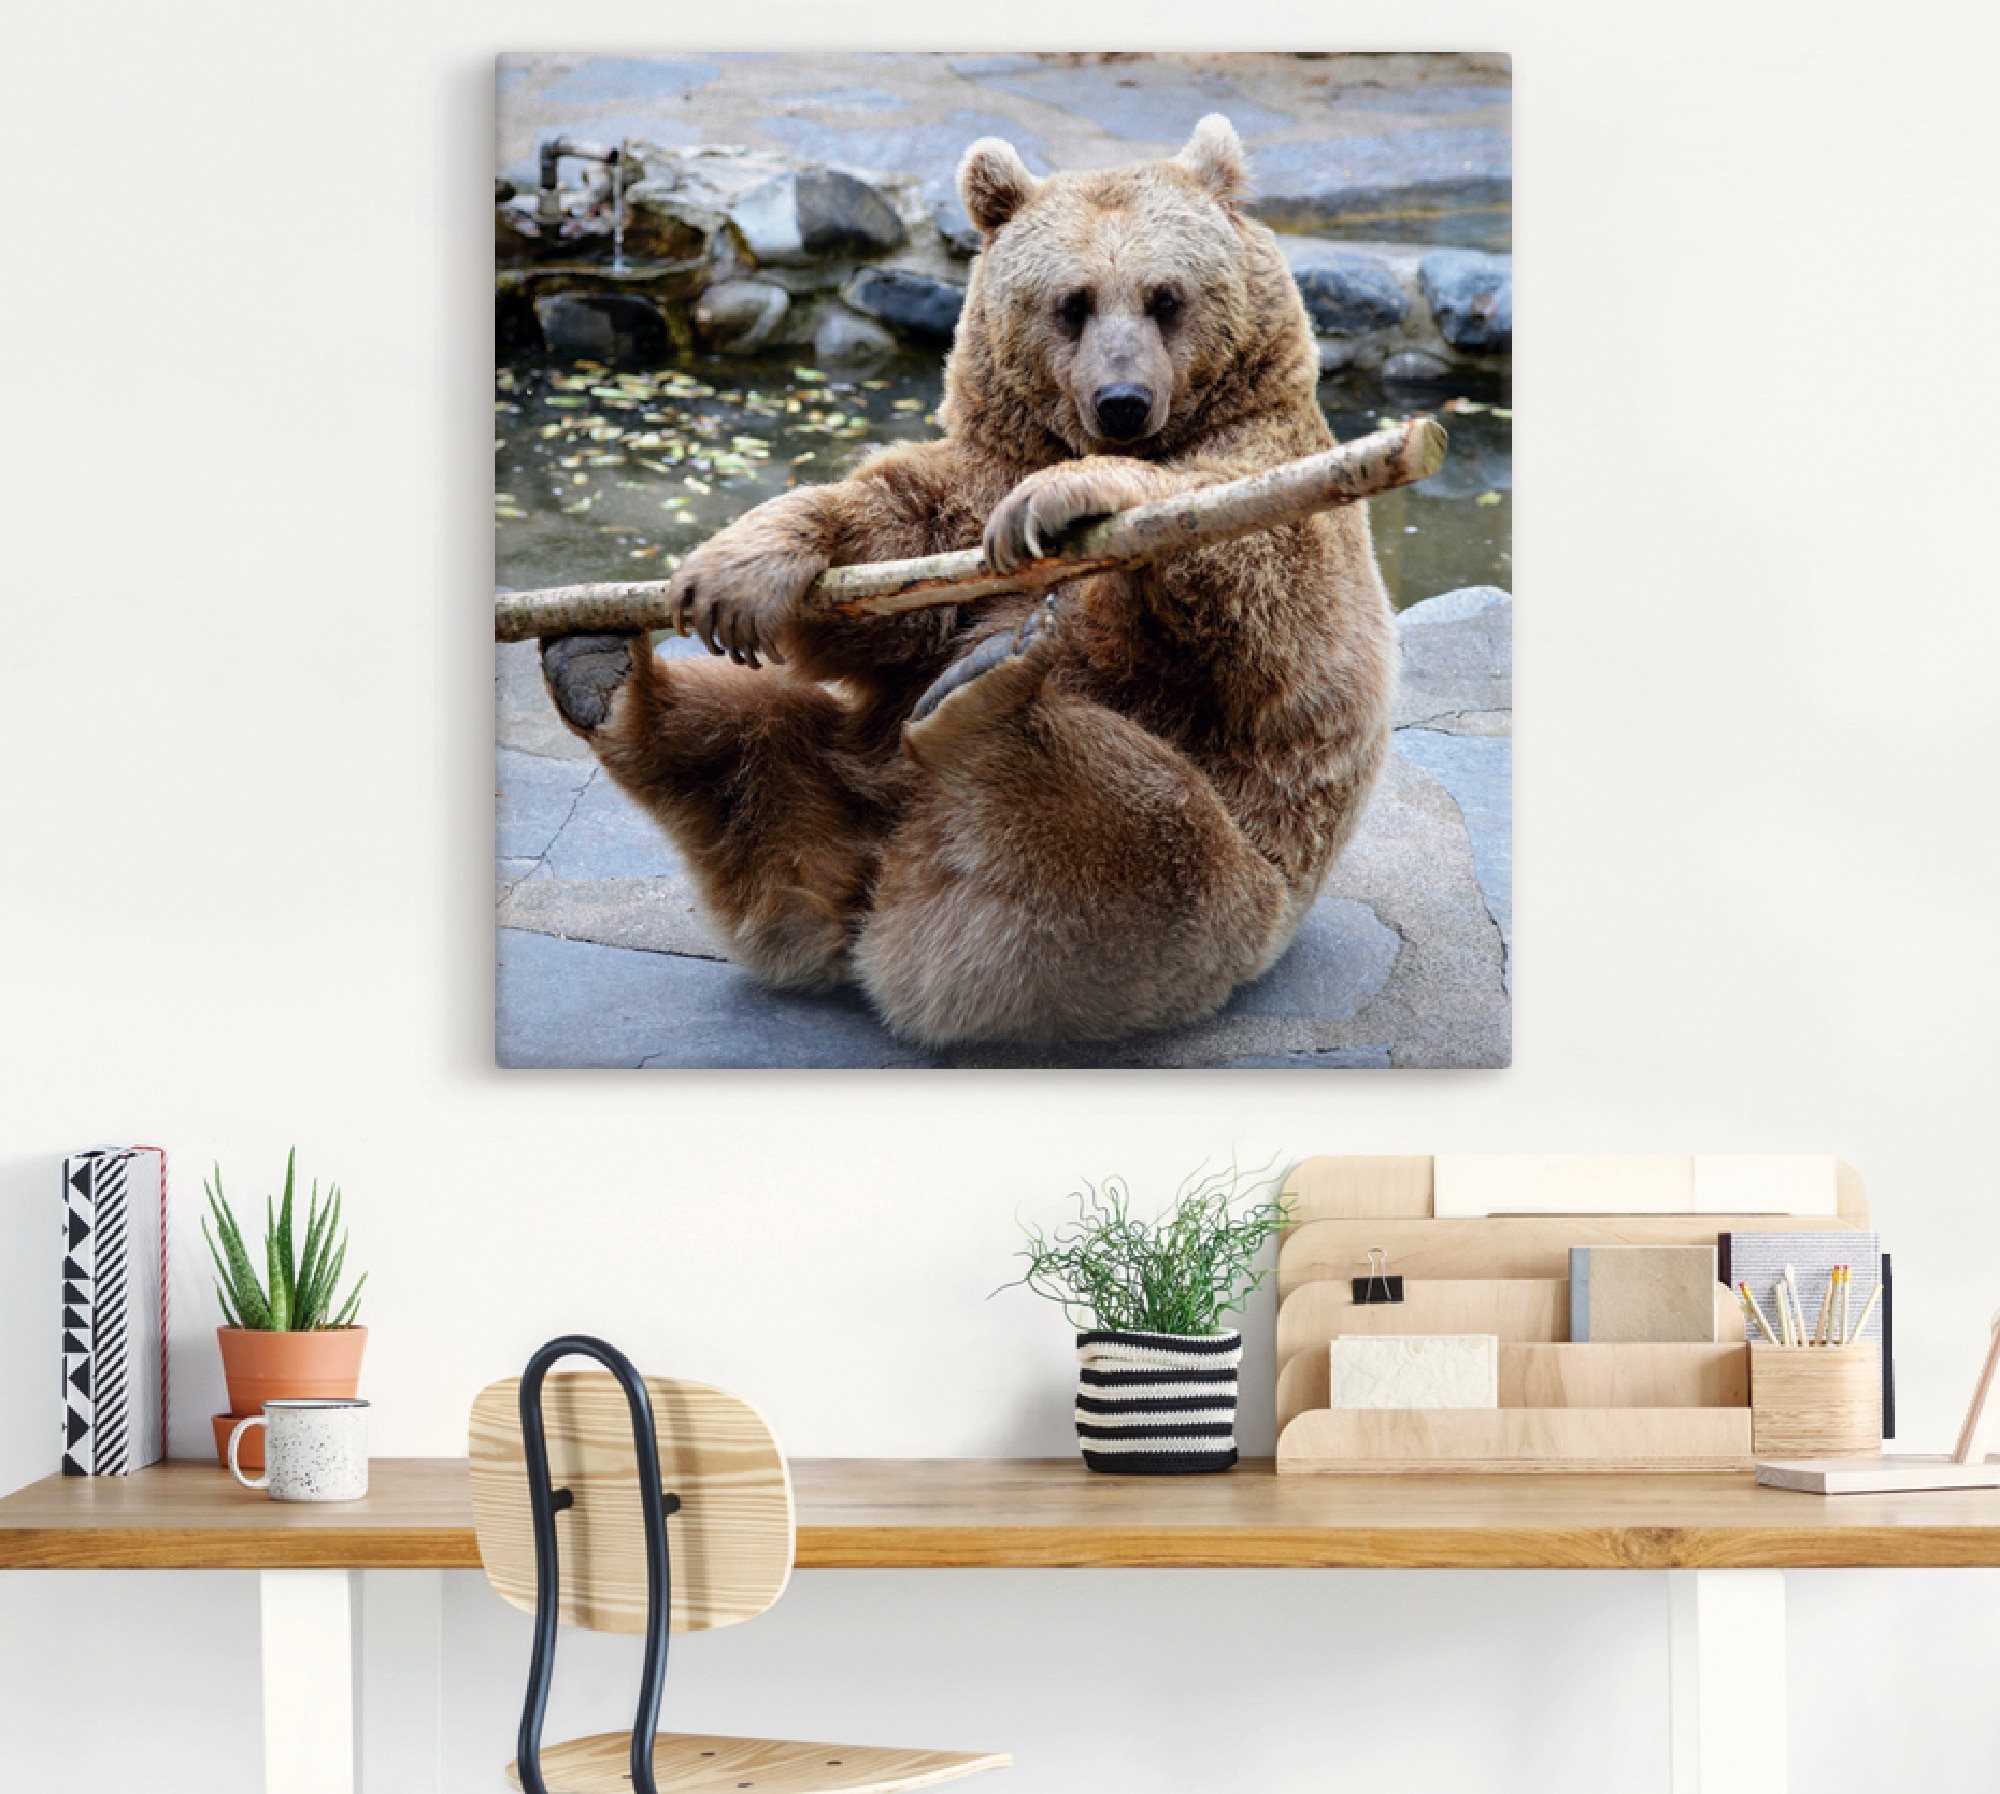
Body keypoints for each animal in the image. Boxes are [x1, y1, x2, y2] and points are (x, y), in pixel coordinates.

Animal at [537, 115, 1397, 1047]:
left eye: (1165, 297)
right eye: (1073, 302)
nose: (1123, 400)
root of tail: (882, 898)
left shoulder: (1278, 472)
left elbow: (1263, 602)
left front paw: (1075, 496)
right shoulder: (981, 473)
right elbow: (893, 561)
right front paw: (744, 565)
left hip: (1216, 898)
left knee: (1127, 830)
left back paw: (984, 701)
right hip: (832, 789)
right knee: (749, 747)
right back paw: (602, 676)